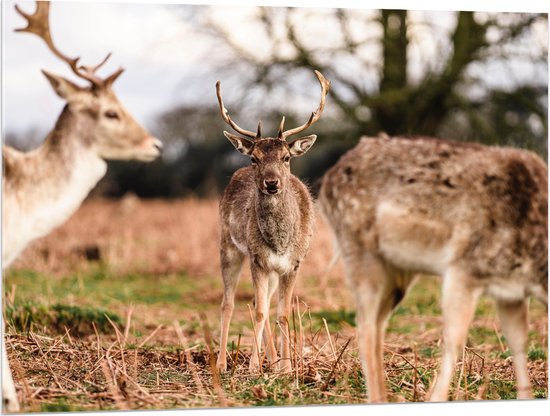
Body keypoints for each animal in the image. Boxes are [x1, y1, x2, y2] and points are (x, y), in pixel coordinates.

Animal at [213, 70, 330, 372]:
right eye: (254, 158)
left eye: (286, 157)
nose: (271, 182)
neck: (280, 242)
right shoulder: (258, 259)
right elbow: (259, 312)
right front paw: (254, 367)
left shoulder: (293, 263)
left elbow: (283, 313)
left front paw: (286, 367)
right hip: (228, 246)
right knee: (230, 303)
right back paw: (222, 362)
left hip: (272, 270)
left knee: (260, 303)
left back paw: (274, 359)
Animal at [322, 134, 548, 404]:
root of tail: (327, 180)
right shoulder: (463, 269)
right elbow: (454, 339)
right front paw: (435, 397)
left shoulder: (511, 291)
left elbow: (519, 341)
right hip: (359, 250)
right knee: (365, 327)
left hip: (397, 272)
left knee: (377, 325)